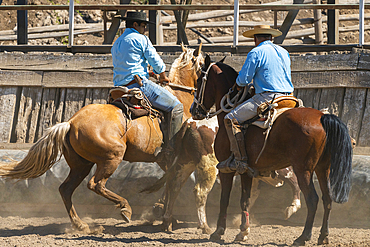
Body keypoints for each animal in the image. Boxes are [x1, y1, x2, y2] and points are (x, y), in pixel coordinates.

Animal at [0, 44, 217, 235]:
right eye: (203, 66)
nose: (201, 108)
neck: (179, 97)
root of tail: (70, 122)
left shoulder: (164, 160)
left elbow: (167, 181)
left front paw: (162, 212)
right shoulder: (170, 158)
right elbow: (169, 182)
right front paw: (162, 213)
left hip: (81, 165)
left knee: (66, 189)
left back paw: (82, 226)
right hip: (112, 157)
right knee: (96, 184)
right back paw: (125, 208)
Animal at [191, 58, 352, 245]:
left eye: (199, 80)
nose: (194, 110)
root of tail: (322, 117)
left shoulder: (226, 169)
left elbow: (224, 199)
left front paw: (218, 232)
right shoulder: (246, 170)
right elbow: (245, 200)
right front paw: (243, 232)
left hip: (303, 170)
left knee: (313, 200)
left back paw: (303, 237)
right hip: (322, 168)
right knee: (327, 199)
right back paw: (323, 236)